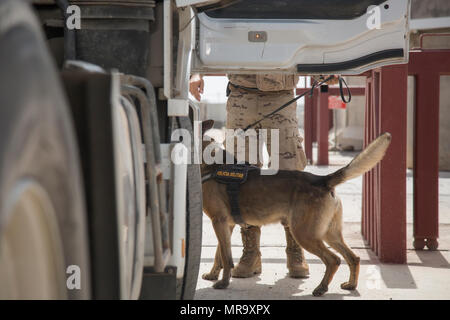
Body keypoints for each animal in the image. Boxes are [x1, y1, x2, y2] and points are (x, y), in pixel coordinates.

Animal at [200, 120, 390, 298]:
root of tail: (322, 180)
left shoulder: (219, 222)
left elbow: (226, 257)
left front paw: (223, 283)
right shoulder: (226, 225)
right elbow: (219, 254)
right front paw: (212, 275)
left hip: (304, 233)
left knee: (334, 260)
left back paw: (321, 288)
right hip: (329, 233)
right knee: (353, 257)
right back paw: (351, 284)